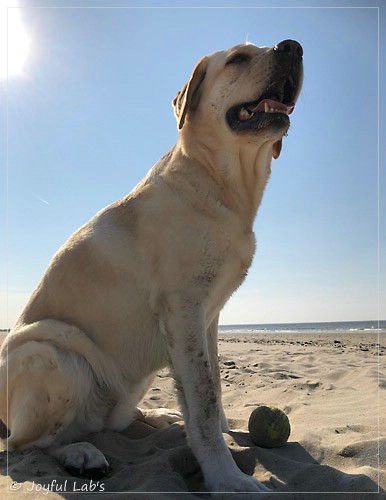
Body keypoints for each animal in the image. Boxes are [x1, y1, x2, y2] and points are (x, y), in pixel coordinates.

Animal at [0, 40, 302, 492]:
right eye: (237, 59)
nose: (294, 47)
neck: (217, 181)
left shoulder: (207, 318)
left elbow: (211, 385)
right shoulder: (184, 310)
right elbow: (205, 403)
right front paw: (228, 479)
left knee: (108, 422)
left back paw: (155, 416)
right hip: (52, 354)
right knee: (26, 445)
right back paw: (81, 454)